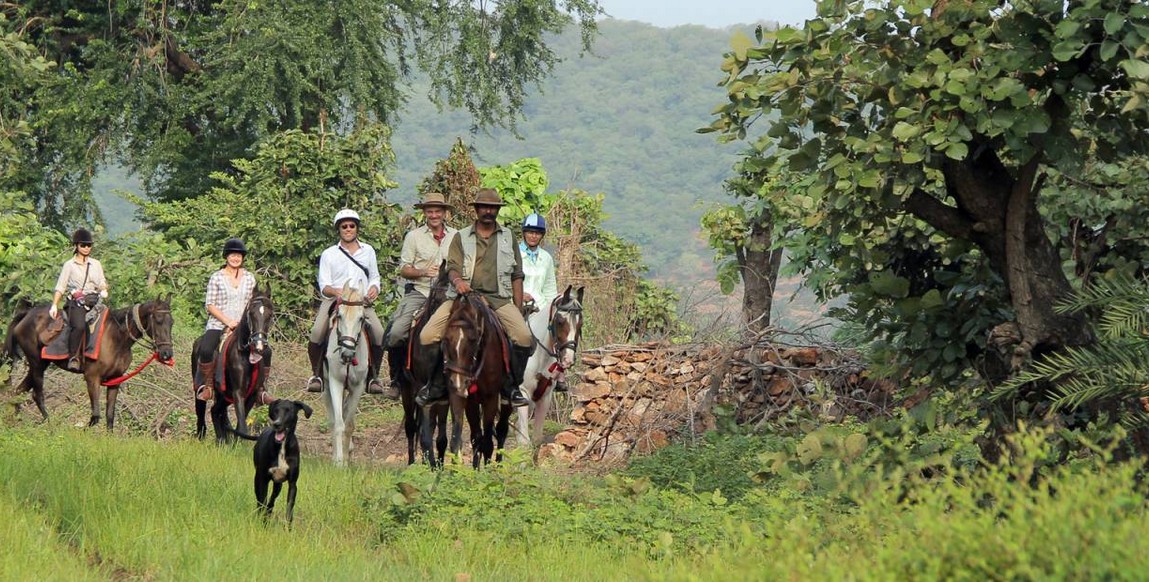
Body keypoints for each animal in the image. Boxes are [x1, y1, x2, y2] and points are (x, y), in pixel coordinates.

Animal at [3, 296, 174, 429]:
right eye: (158, 320)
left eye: (171, 322)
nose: (167, 354)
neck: (116, 338)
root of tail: (27, 314)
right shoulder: (92, 378)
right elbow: (96, 415)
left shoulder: (115, 380)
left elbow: (110, 416)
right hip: (36, 363)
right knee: (37, 395)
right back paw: (50, 425)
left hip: (41, 364)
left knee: (16, 392)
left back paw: (13, 422)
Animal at [194, 284, 274, 443]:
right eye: (251, 313)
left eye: (269, 315)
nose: (259, 346)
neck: (245, 353)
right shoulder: (238, 392)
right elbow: (242, 425)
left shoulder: (251, 394)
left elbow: (240, 423)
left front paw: (236, 443)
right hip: (200, 389)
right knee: (202, 414)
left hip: (224, 396)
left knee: (215, 411)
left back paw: (221, 440)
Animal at [438, 293, 512, 466]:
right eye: (446, 339)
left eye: (473, 340)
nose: (458, 382)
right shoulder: (464, 398)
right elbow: (463, 439)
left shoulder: (490, 399)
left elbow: (487, 442)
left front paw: (488, 471)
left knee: (502, 430)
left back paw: (499, 465)